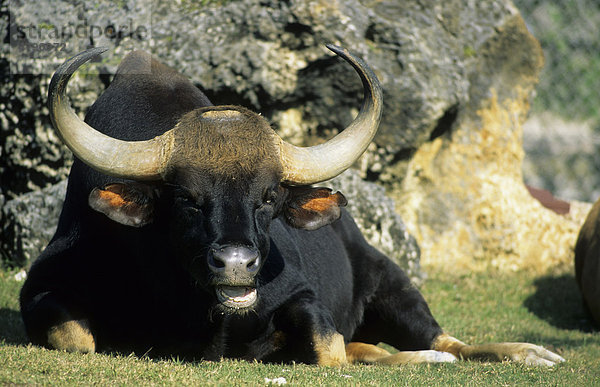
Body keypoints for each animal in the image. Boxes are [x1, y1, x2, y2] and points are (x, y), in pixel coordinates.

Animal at [18, 46, 564, 366]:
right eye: (186, 199)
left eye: (269, 197)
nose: (237, 264)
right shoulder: (40, 291)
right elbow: (77, 337)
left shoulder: (303, 295)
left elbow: (328, 349)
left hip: (396, 284)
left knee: (445, 342)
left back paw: (527, 353)